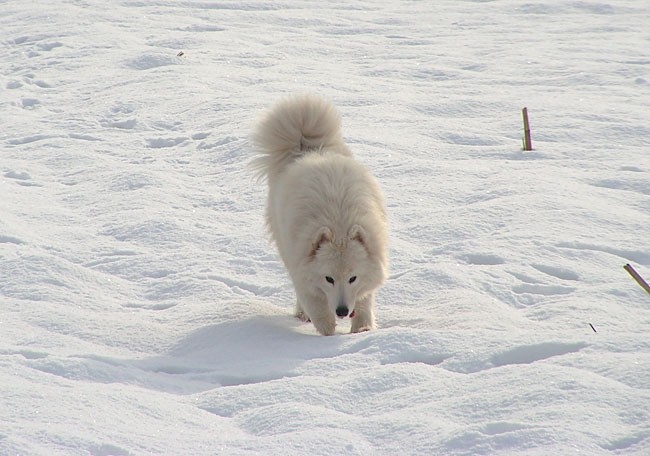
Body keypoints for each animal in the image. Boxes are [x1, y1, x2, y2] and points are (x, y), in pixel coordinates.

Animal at [252, 93, 384, 334]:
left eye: (352, 278)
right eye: (328, 278)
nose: (342, 311)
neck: (339, 224)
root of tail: (307, 147)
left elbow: (364, 301)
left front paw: (362, 330)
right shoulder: (302, 266)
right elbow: (317, 307)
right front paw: (328, 335)